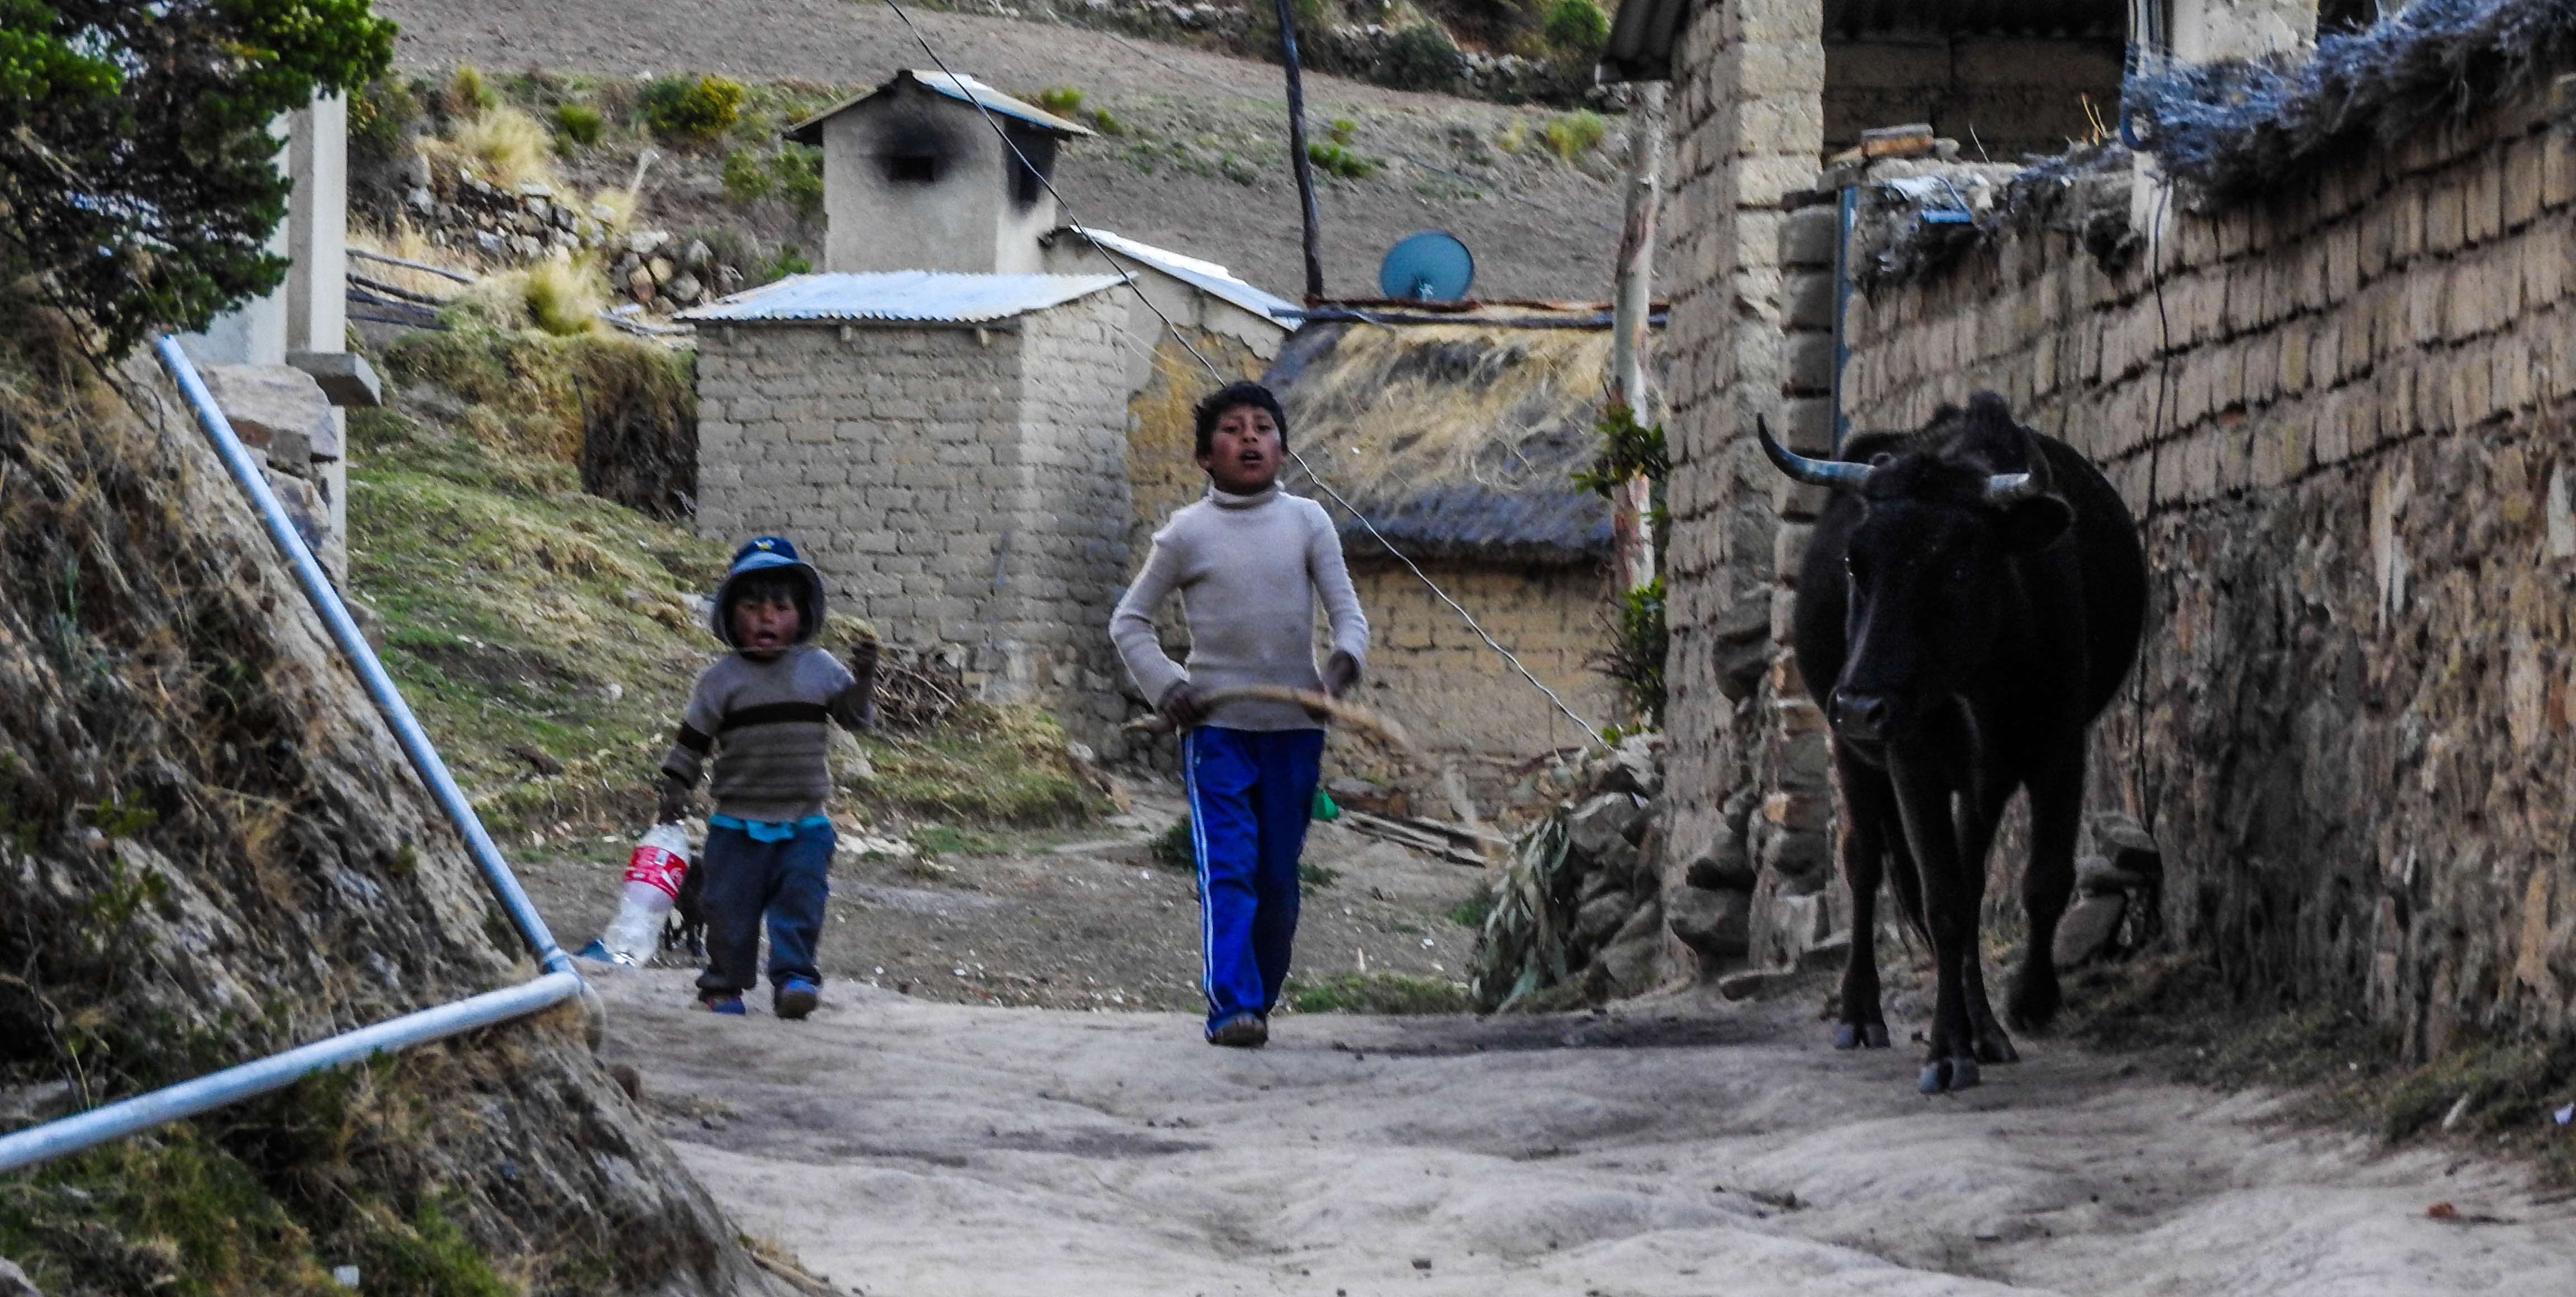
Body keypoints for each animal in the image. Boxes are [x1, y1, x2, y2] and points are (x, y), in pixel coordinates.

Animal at [1755, 392, 2147, 1094]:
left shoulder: (2058, 747)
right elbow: (1943, 903)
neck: (1978, 678)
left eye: (1958, 566)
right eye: (1856, 563)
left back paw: (1986, 1028)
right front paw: (1945, 1049)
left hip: (1981, 778)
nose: (1861, 705)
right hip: (1852, 755)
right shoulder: (1913, 761)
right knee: (1863, 862)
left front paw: (2029, 1000)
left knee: (1971, 875)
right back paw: (1861, 1013)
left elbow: (2041, 880)